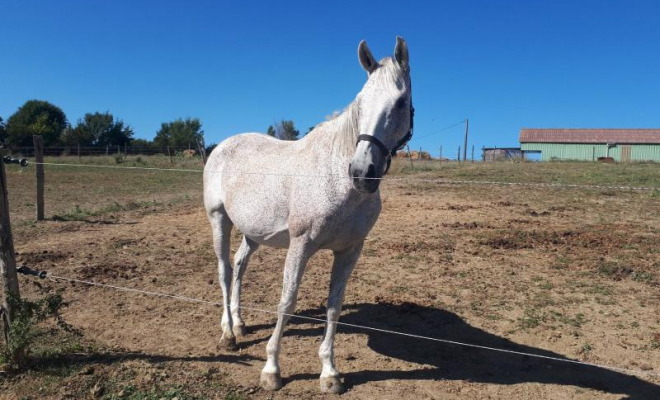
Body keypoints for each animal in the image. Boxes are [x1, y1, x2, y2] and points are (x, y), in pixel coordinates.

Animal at [204, 37, 416, 394]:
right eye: (360, 103)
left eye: (401, 102)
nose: (362, 172)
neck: (335, 177)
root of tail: (222, 145)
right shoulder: (300, 244)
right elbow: (286, 301)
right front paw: (271, 370)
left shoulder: (350, 250)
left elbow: (334, 306)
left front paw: (329, 373)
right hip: (219, 219)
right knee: (223, 271)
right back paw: (228, 333)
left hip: (252, 232)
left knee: (239, 265)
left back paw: (241, 322)